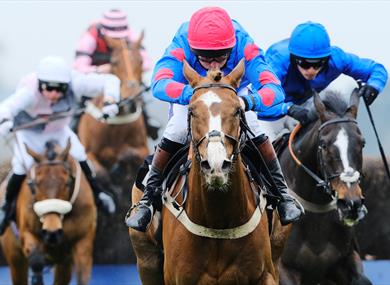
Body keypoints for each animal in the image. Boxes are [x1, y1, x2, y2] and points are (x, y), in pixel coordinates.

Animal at [0, 139, 96, 284]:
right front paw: (36, 277)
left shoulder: (83, 239)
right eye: (33, 184)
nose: (52, 232)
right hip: (14, 256)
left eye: (68, 182)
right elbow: (36, 259)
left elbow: (83, 274)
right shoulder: (27, 232)